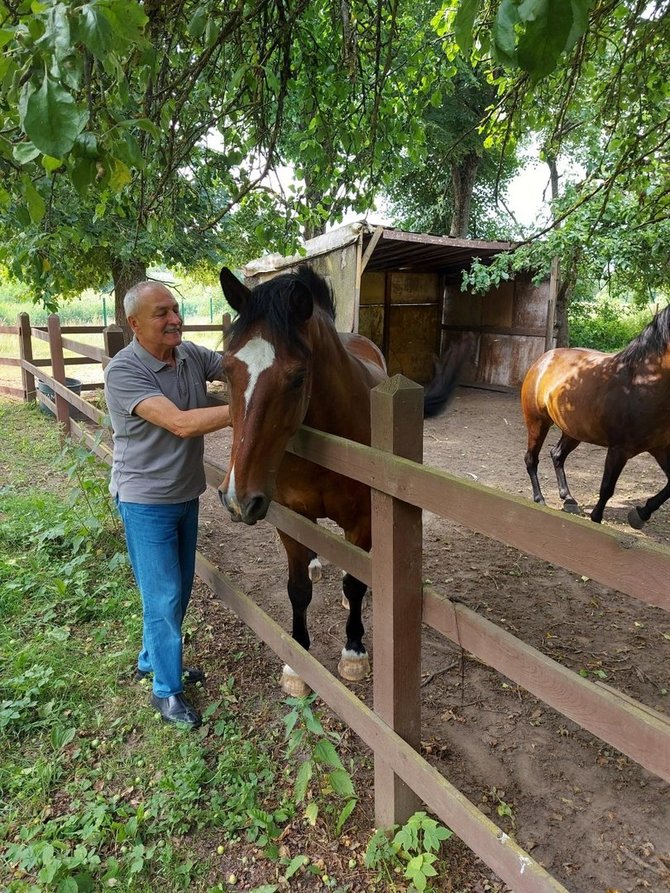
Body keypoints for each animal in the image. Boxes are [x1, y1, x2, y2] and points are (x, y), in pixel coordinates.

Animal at [219, 266, 468, 696]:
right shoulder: (291, 518)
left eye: (298, 377)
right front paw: (297, 662)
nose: (239, 499)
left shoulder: (363, 521)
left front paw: (354, 653)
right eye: (227, 368)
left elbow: (354, 584)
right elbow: (297, 588)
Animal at [524, 304, 670, 528]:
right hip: (537, 423)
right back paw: (540, 499)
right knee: (531, 459)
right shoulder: (619, 449)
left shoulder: (660, 448)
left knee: (557, 455)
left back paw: (568, 499)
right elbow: (607, 488)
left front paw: (640, 514)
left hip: (572, 431)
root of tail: (544, 359)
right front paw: (596, 519)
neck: (644, 383)